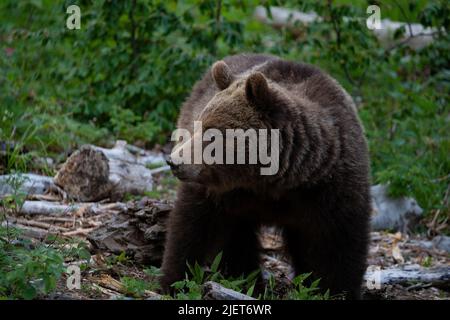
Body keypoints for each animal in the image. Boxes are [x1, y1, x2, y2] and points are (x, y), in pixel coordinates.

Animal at [160, 53, 370, 298]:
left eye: (212, 133)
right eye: (197, 126)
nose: (174, 162)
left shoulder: (329, 188)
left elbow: (337, 244)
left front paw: (335, 290)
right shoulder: (220, 192)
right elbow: (193, 226)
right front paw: (173, 281)